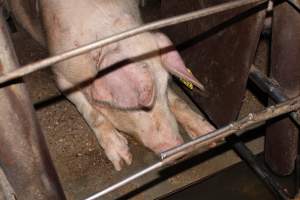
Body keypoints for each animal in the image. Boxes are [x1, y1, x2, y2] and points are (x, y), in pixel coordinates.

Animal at [7, 0, 216, 170]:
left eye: (164, 89)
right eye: (141, 106)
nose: (180, 149)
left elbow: (176, 100)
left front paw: (210, 134)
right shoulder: (61, 75)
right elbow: (90, 111)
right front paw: (123, 160)